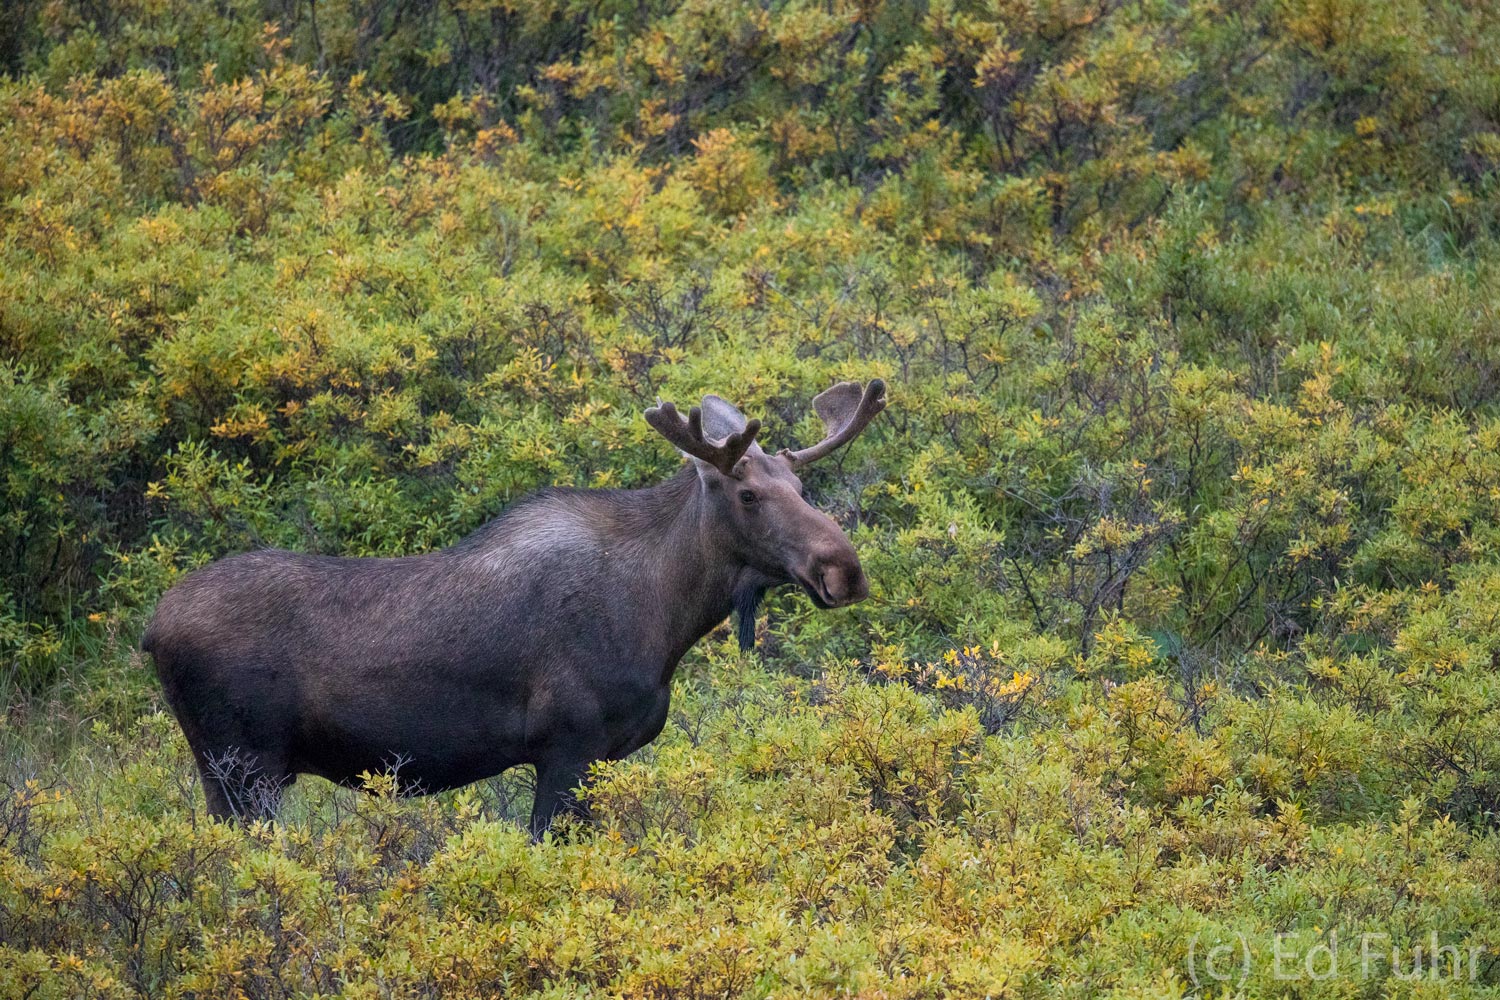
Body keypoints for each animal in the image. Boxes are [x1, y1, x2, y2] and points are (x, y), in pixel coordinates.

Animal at [141, 380, 882, 839]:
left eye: (802, 487)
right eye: (749, 494)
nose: (843, 570)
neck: (663, 617)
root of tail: (149, 633)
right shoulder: (567, 747)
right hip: (243, 768)